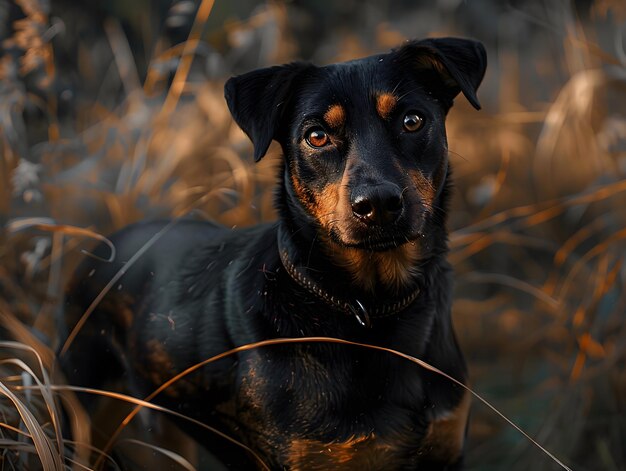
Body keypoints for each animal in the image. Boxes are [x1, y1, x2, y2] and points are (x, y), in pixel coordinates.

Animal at [58, 37, 486, 471]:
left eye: (412, 121)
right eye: (316, 136)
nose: (378, 204)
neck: (368, 305)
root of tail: (101, 246)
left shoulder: (446, 447)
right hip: (83, 413)